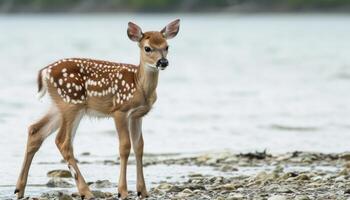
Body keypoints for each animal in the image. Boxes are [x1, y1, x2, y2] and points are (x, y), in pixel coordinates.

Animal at [14, 19, 179, 200]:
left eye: (167, 46)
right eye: (147, 48)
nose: (163, 62)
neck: (139, 84)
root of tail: (44, 72)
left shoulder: (137, 115)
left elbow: (139, 147)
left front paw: (142, 190)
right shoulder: (119, 110)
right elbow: (124, 146)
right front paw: (122, 191)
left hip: (59, 106)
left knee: (35, 131)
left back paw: (19, 189)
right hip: (72, 103)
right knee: (63, 141)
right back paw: (86, 191)